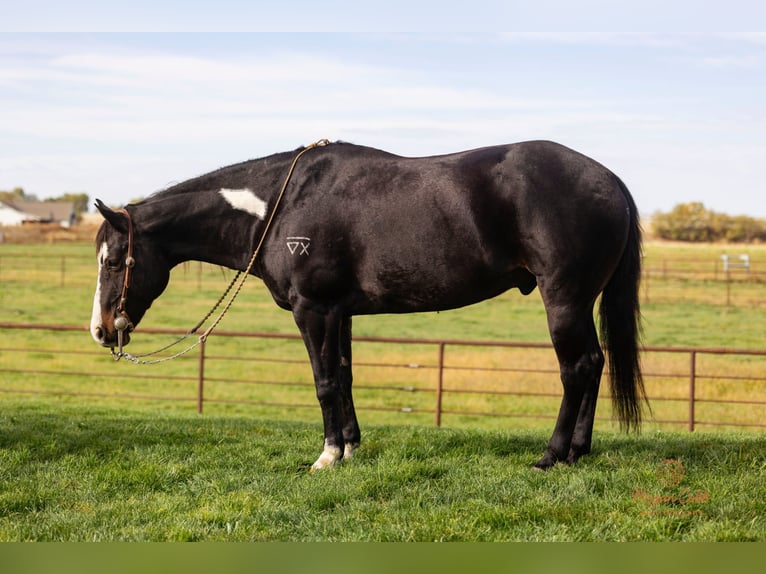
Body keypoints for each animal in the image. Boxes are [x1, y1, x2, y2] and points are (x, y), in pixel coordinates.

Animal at [90, 139, 645, 471]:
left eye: (115, 260)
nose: (100, 330)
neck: (280, 206)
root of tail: (610, 180)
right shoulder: (341, 313)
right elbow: (344, 376)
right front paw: (352, 446)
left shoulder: (313, 309)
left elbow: (324, 382)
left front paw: (328, 456)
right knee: (595, 363)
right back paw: (578, 451)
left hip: (564, 300)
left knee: (577, 367)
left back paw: (551, 455)